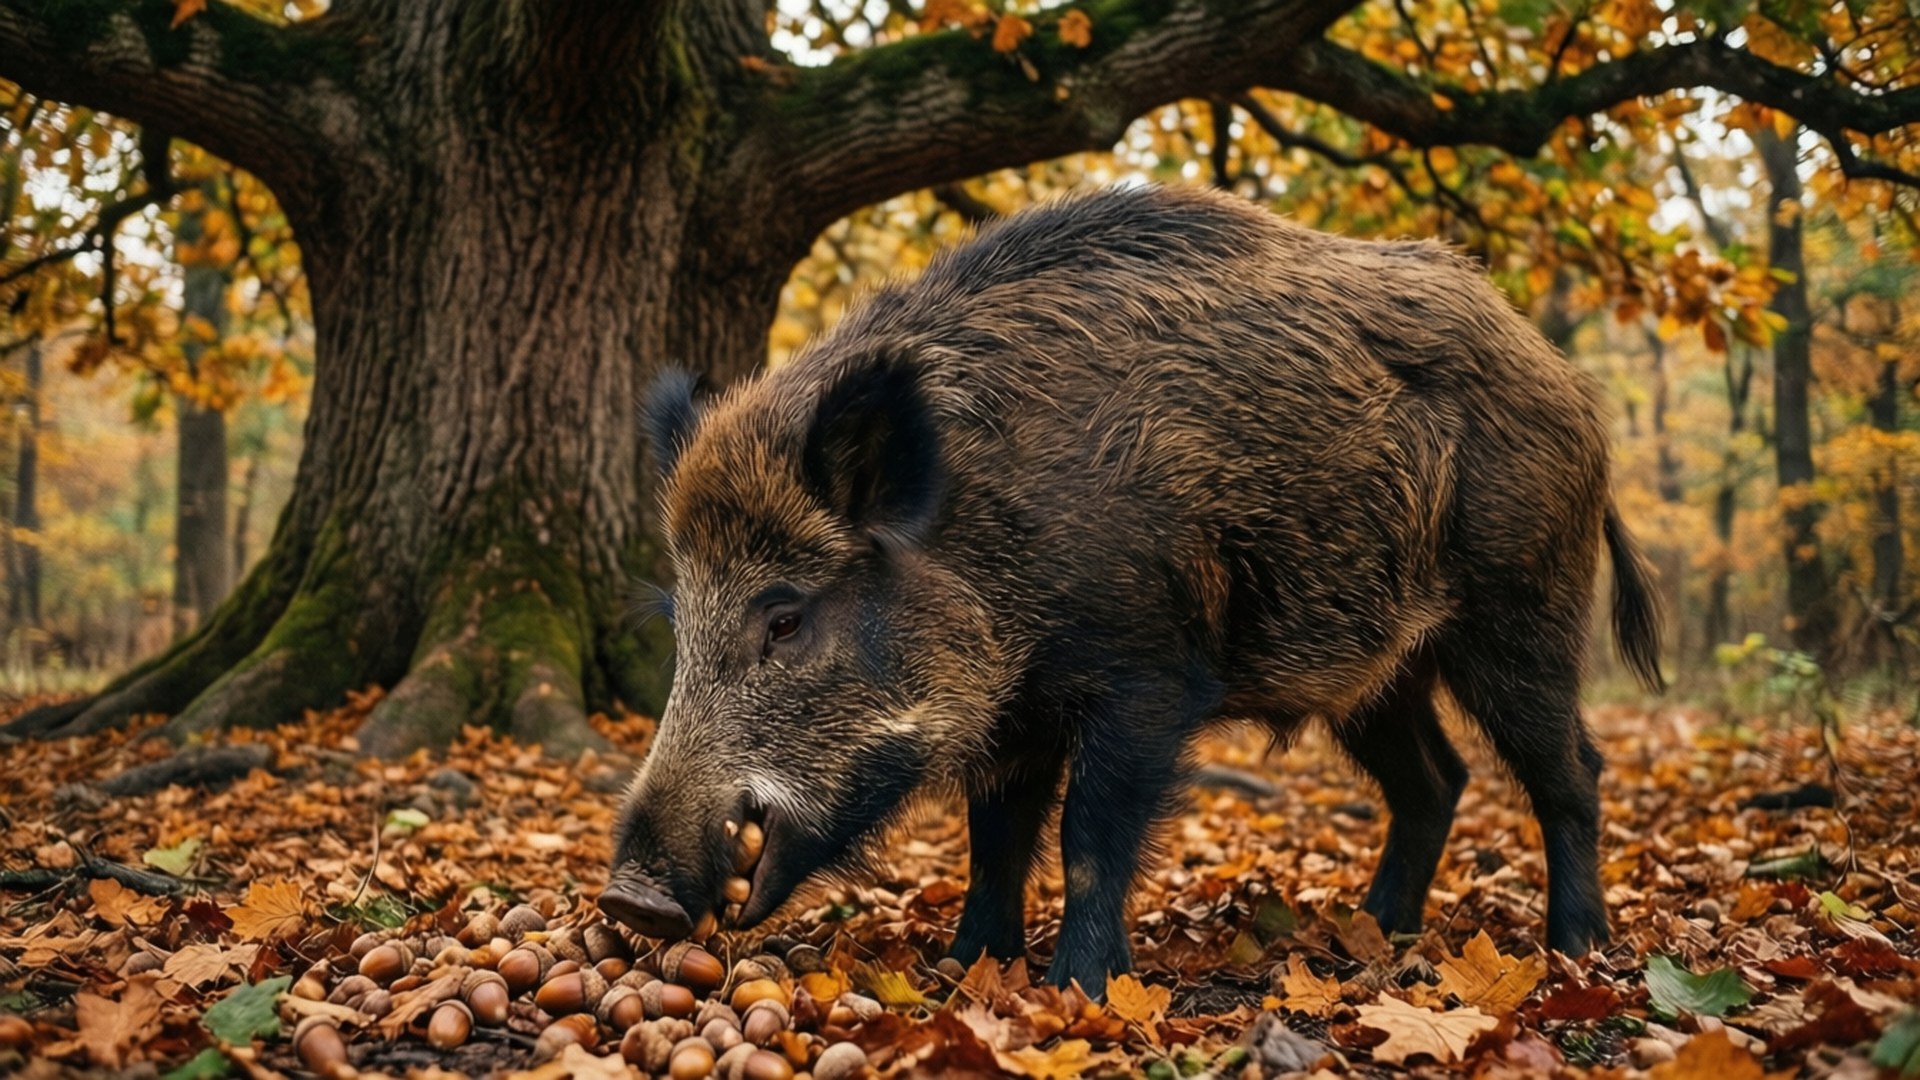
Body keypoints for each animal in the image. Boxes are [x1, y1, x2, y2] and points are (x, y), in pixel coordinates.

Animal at [603, 184, 1663, 999]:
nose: (628, 897)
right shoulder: (1015, 708)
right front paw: (965, 970)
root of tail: (1575, 389)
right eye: (680, 620)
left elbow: (1089, 830)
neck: (990, 540)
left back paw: (1576, 949)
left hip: (1521, 602)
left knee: (1570, 769)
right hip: (1374, 668)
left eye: (784, 617)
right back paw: (1373, 938)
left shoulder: (1147, 672)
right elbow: (997, 834)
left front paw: (1079, 987)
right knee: (1434, 780)